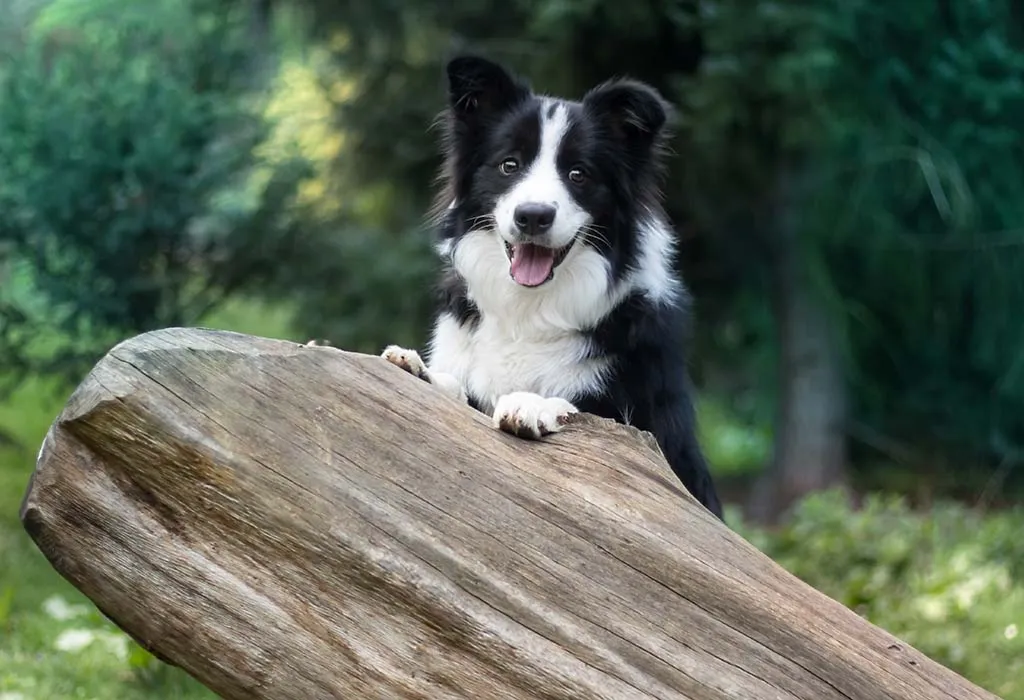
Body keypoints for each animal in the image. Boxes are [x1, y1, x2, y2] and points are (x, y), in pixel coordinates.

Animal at [374, 56, 720, 519]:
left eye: (578, 174)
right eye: (509, 165)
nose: (533, 216)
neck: (528, 309)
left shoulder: (651, 435)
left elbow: (585, 414)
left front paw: (531, 404)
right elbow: (459, 391)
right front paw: (419, 369)